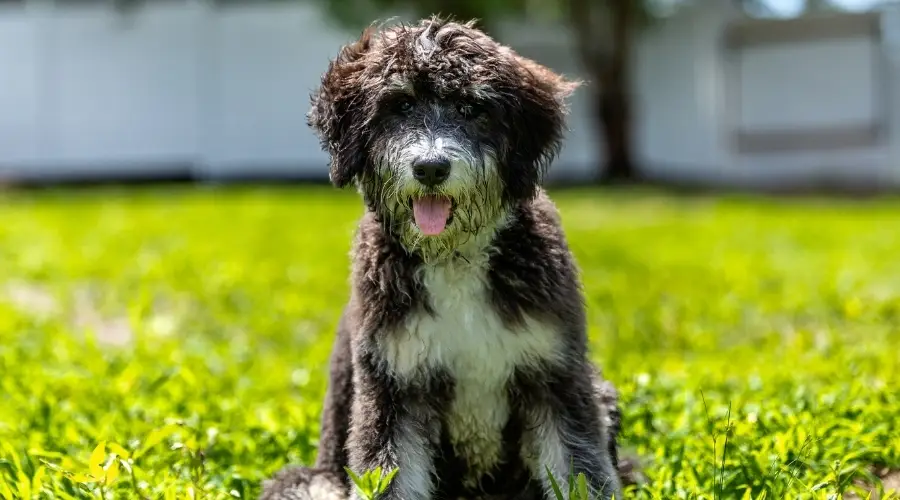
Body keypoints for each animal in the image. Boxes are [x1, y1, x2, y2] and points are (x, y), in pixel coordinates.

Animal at [260, 15, 628, 500]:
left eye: (472, 108)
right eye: (399, 105)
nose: (431, 168)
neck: (453, 259)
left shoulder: (555, 375)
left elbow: (578, 467)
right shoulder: (393, 386)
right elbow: (391, 477)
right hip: (312, 481)